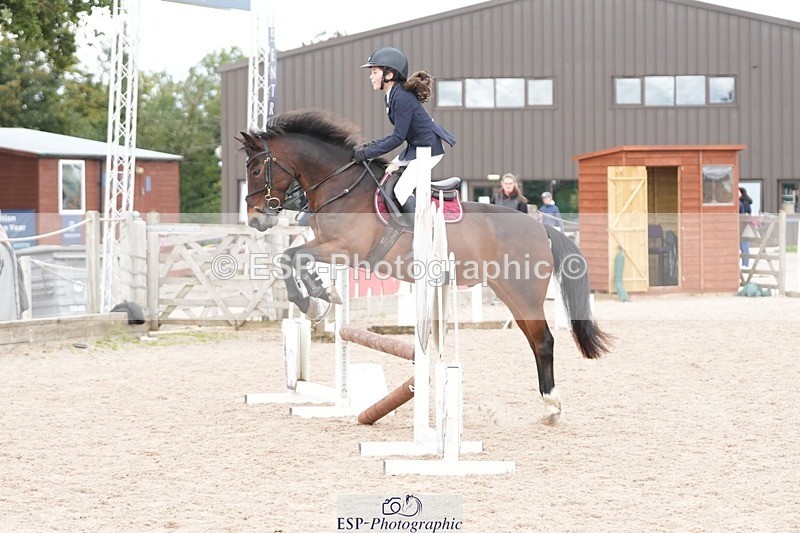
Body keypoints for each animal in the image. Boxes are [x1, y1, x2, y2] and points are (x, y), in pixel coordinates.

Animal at [237, 109, 610, 424]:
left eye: (256, 170)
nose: (255, 219)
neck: (341, 187)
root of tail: (540, 226)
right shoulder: (331, 248)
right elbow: (292, 258)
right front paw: (319, 296)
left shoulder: (345, 249)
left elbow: (291, 256)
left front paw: (313, 298)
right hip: (508, 292)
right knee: (533, 340)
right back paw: (547, 405)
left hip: (524, 293)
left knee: (543, 341)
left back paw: (552, 406)